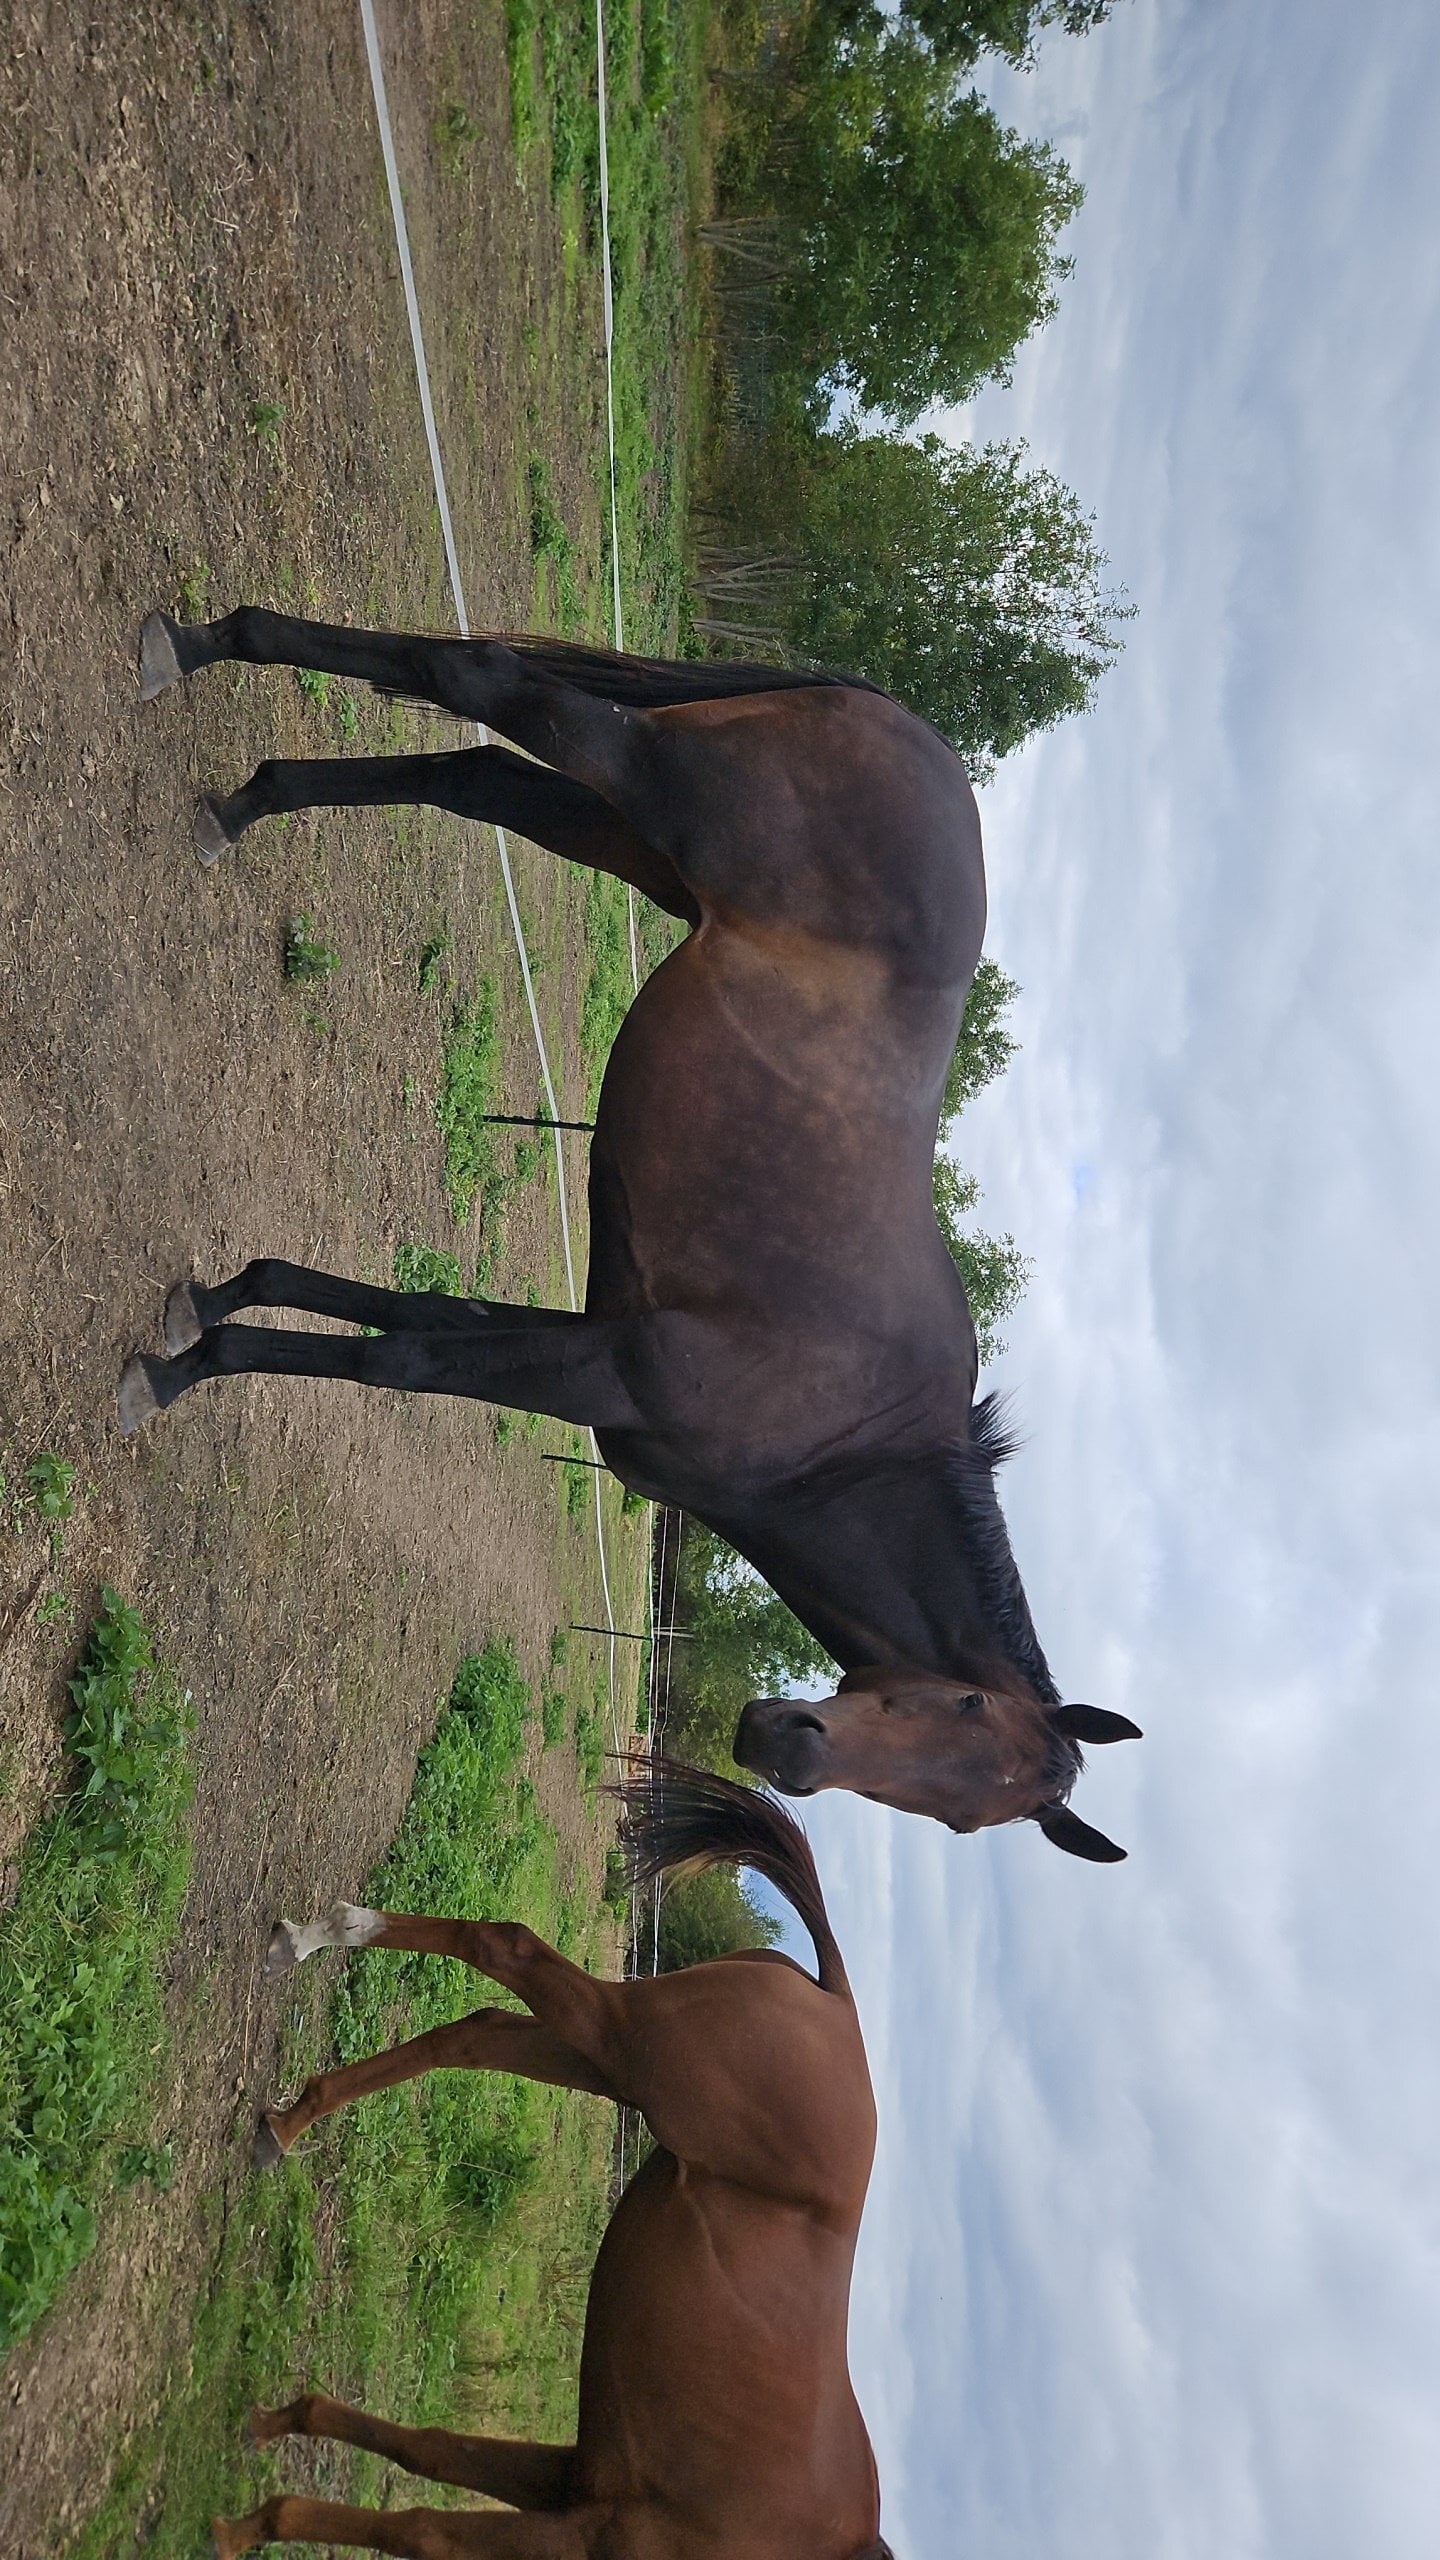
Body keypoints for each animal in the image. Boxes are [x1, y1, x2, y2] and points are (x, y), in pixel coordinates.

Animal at [121, 607, 1141, 1860]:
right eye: (963, 1705)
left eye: (963, 1816)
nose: (787, 1749)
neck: (845, 1436)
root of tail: (902, 724)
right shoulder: (607, 1368)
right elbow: (399, 1360)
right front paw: (180, 1371)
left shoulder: (590, 1331)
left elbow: (403, 1315)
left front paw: (218, 1301)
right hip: (654, 784)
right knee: (482, 680)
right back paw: (200, 664)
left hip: (624, 832)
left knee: (473, 775)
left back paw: (236, 770)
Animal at [211, 1763, 891, 2560]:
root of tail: (836, 1999)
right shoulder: (588, 2534)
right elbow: (424, 2531)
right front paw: (241, 2528)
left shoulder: (573, 2482)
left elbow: (429, 2451)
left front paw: (272, 2428)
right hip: (623, 2041)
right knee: (505, 1945)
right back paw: (316, 1939)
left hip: (601, 2063)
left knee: (475, 2032)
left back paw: (287, 2111)